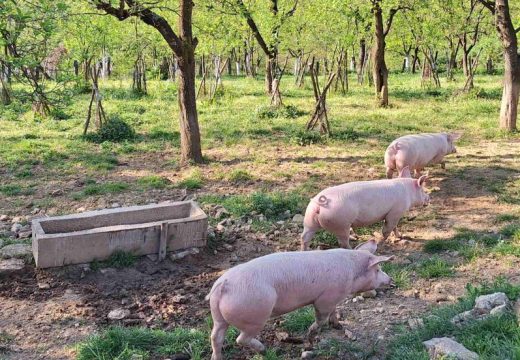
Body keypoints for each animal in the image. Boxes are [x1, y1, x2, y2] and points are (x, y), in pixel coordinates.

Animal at [205, 239, 392, 360]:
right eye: (377, 270)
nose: (390, 280)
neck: (352, 272)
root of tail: (222, 285)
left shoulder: (333, 298)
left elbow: (334, 311)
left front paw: (338, 325)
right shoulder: (325, 299)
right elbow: (320, 319)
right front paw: (309, 339)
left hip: (218, 317)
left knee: (215, 337)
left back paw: (217, 357)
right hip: (255, 315)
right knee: (240, 339)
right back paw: (264, 350)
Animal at [298, 174, 428, 250]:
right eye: (423, 190)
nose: (429, 198)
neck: (408, 192)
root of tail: (320, 202)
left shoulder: (394, 214)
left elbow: (394, 227)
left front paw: (400, 236)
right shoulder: (395, 212)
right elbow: (387, 229)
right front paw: (380, 243)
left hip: (309, 220)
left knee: (304, 237)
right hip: (341, 223)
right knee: (342, 242)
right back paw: (352, 248)